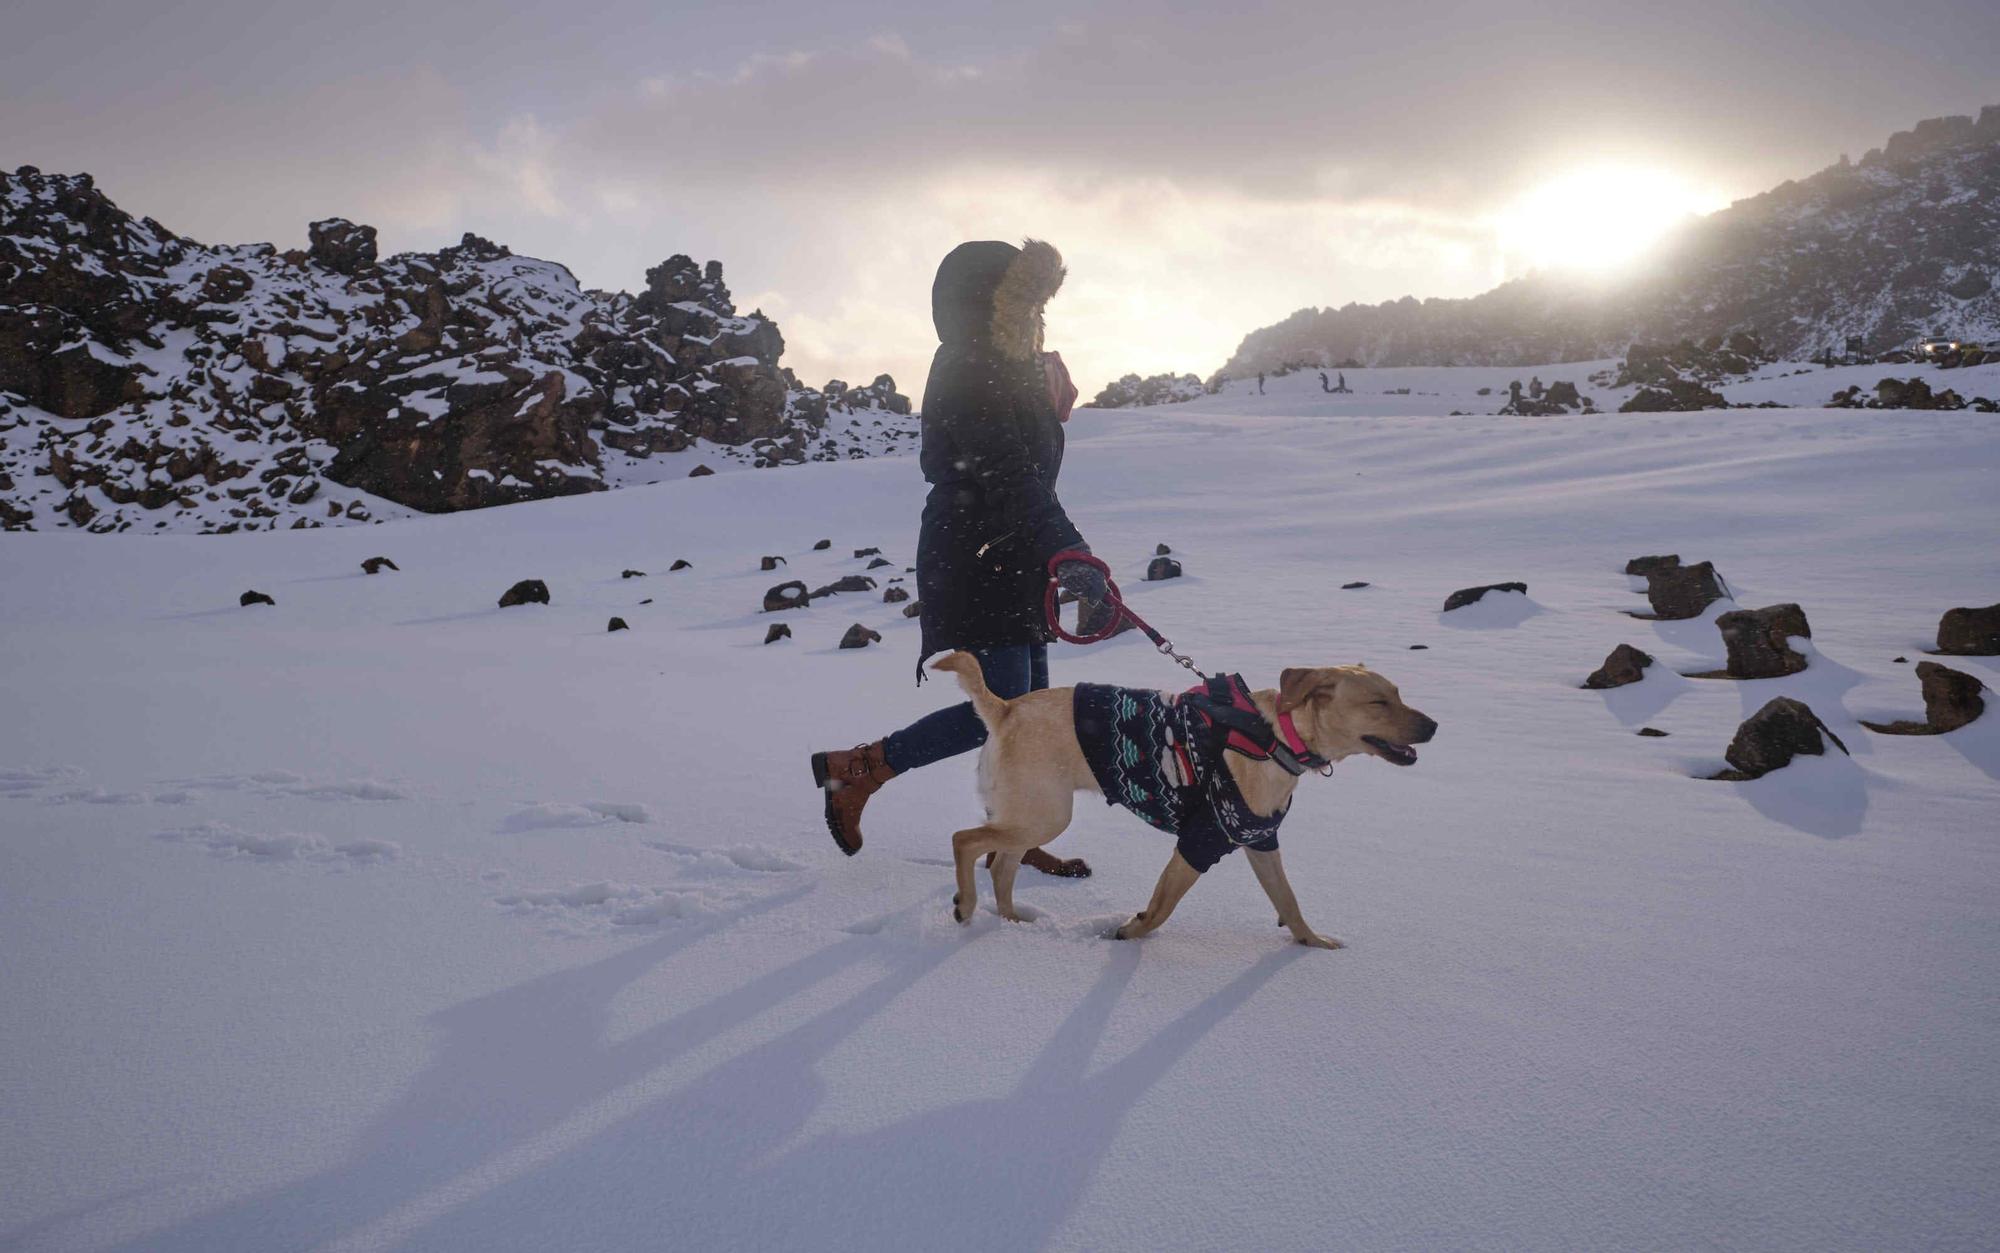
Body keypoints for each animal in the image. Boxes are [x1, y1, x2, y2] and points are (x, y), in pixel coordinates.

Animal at [928, 660, 1432, 940]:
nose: (1434, 726)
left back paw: (1012, 922)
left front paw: (1313, 944)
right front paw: (1126, 934)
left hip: (1031, 816)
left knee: (1001, 868)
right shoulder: (1200, 841)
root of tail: (1005, 709)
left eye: (1397, 694)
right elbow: (1160, 909)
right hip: (1044, 816)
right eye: (1378, 703)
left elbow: (1289, 902)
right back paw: (966, 906)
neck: (1274, 737)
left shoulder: (1260, 841)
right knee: (963, 840)